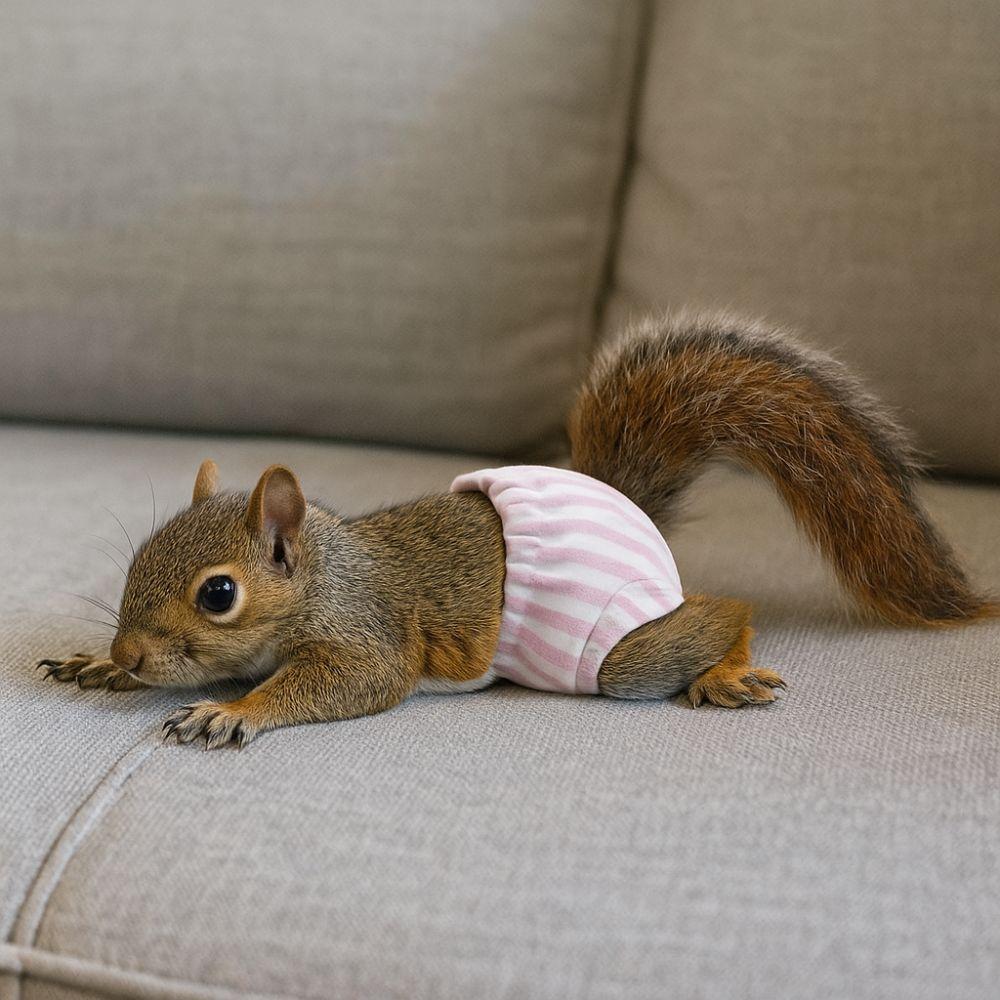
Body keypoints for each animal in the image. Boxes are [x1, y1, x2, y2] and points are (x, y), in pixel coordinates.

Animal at [38, 312, 996, 749]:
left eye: (219, 594)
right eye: (135, 562)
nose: (127, 653)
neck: (325, 573)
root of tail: (618, 500)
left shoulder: (368, 635)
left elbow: (348, 684)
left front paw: (231, 711)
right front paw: (97, 666)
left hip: (614, 651)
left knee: (717, 614)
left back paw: (724, 667)